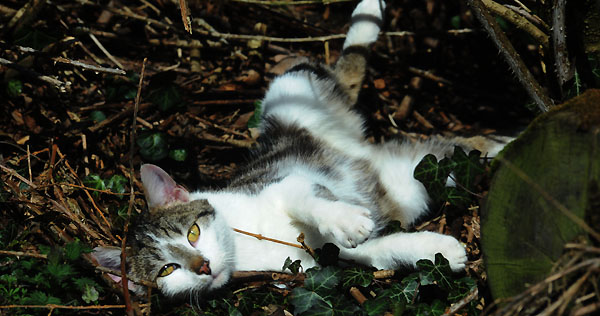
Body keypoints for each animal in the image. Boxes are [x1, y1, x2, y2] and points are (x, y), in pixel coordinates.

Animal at [92, 0, 506, 298]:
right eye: (167, 269)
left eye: (192, 232)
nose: (203, 266)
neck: (245, 247)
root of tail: (358, 143)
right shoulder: (325, 262)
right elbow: (379, 250)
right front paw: (437, 250)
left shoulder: (282, 181)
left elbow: (302, 197)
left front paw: (347, 220)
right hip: (425, 172)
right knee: (466, 150)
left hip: (284, 90)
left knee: (341, 73)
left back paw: (368, 14)